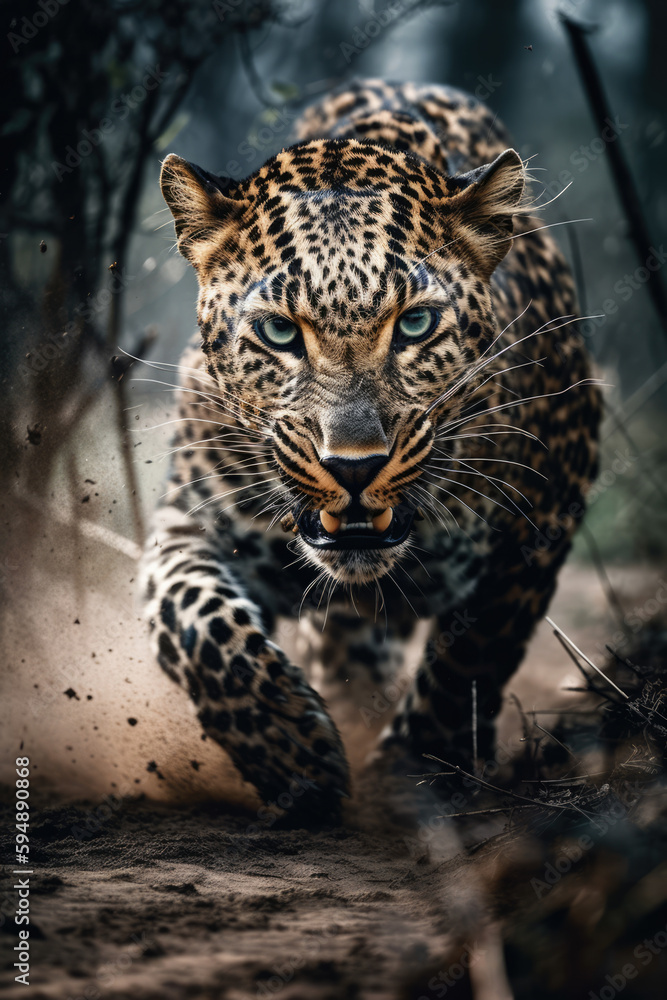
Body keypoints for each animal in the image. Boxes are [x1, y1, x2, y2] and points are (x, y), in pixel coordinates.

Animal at [142, 78, 601, 823]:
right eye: (278, 332)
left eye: (415, 324)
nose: (352, 467)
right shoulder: (194, 521)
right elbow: (197, 627)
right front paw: (292, 756)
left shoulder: (545, 514)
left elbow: (471, 657)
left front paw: (415, 774)